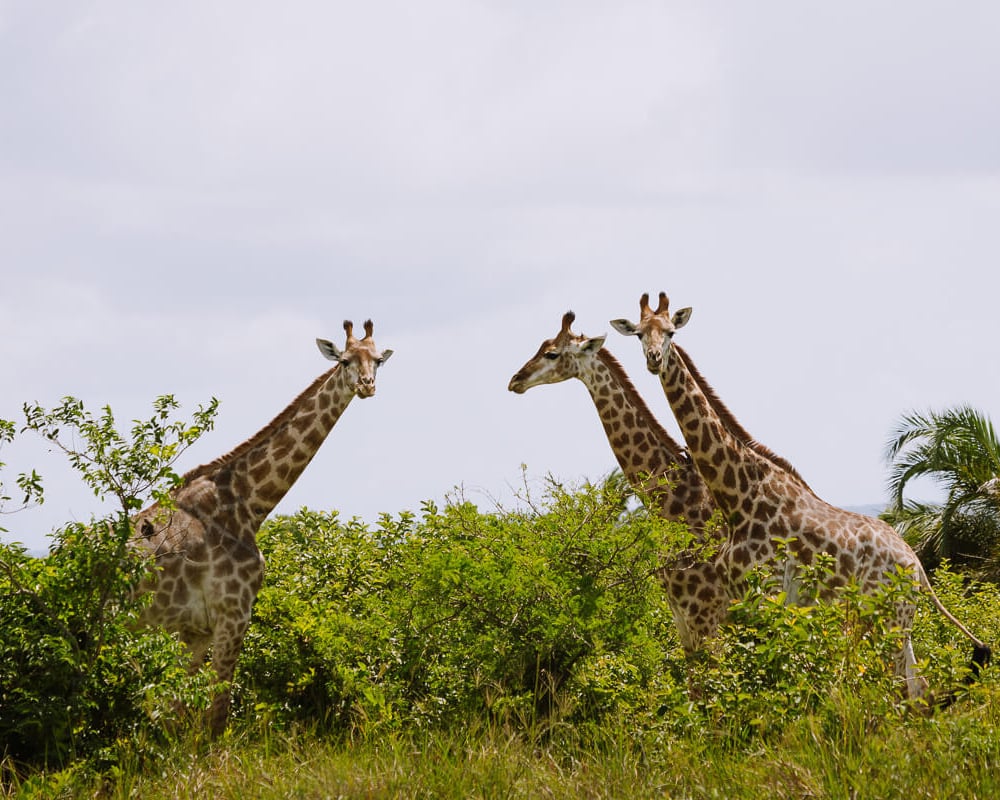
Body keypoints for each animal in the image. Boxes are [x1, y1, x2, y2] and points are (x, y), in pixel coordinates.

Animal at [132, 319, 392, 735]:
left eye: (379, 360)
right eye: (345, 361)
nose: (367, 385)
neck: (249, 504)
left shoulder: (195, 631)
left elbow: (176, 715)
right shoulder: (233, 614)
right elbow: (216, 714)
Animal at [611, 292, 990, 701]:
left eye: (670, 332)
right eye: (638, 334)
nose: (653, 359)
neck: (741, 494)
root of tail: (917, 567)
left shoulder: (766, 595)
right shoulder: (741, 600)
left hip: (884, 618)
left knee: (898, 689)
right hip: (892, 620)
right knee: (916, 690)